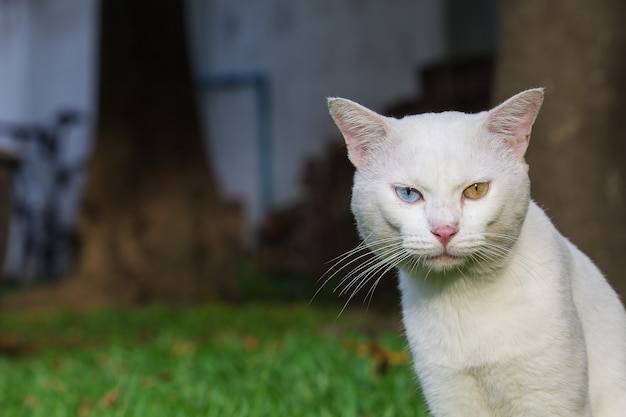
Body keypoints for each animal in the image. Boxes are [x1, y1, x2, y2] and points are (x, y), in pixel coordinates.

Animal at [326, 88, 624, 416]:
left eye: (476, 190)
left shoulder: (550, 400)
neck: (463, 298)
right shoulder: (450, 396)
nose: (445, 229)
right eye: (408, 194)